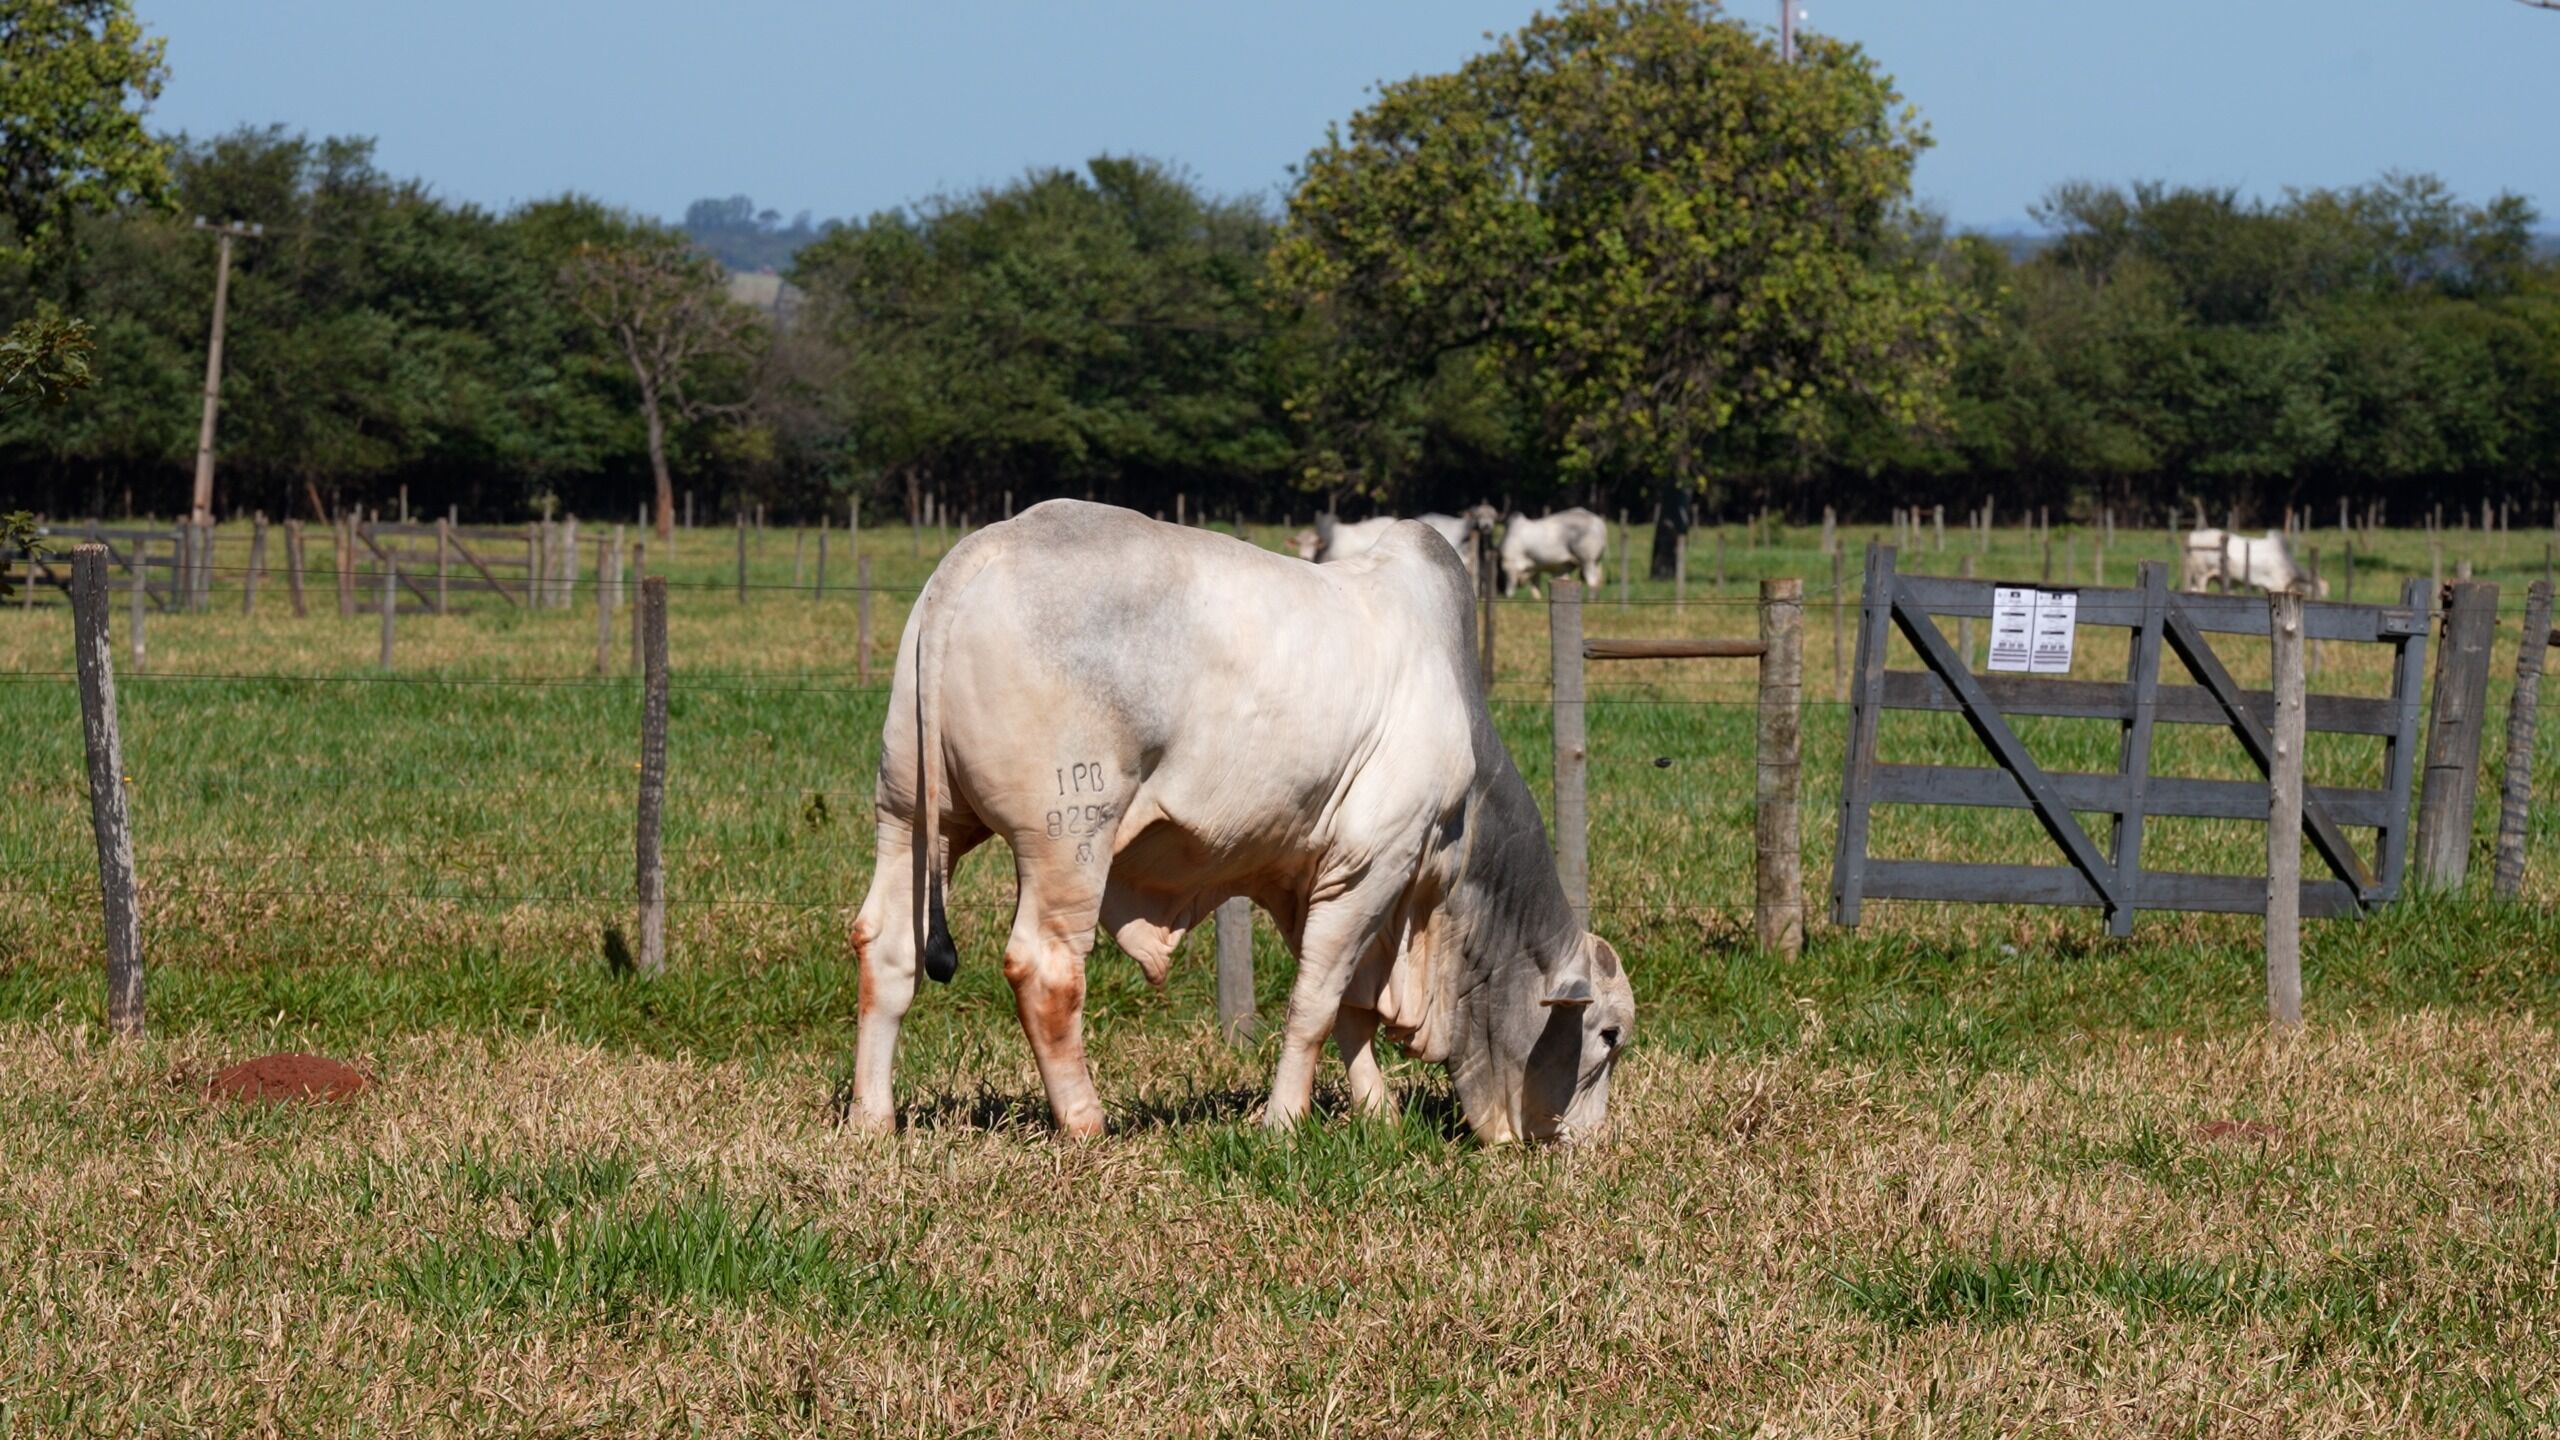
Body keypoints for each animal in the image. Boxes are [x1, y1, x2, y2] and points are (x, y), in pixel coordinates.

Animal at [847, 500, 1634, 1145]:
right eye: (1609, 1035)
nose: (1589, 1144)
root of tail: (980, 553)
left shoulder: (1316, 878)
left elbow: (1349, 1006)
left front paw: (1377, 1112)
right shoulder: (1374, 862)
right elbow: (1315, 1004)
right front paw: (1283, 1122)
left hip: (913, 817)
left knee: (887, 946)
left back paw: (872, 1119)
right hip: (1068, 836)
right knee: (1046, 968)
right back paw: (1087, 1122)